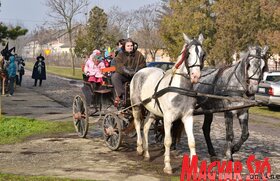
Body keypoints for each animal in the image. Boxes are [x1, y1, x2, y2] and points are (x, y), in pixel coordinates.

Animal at [130, 33, 206, 174]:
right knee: (138, 124)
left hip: (152, 112)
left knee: (146, 127)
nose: (195, 76)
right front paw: (168, 166)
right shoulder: (167, 118)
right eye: (188, 54)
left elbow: (192, 141)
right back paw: (139, 148)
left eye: (203, 54)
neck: (180, 89)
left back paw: (147, 154)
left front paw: (196, 168)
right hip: (136, 105)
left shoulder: (188, 117)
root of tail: (140, 71)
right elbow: (168, 141)